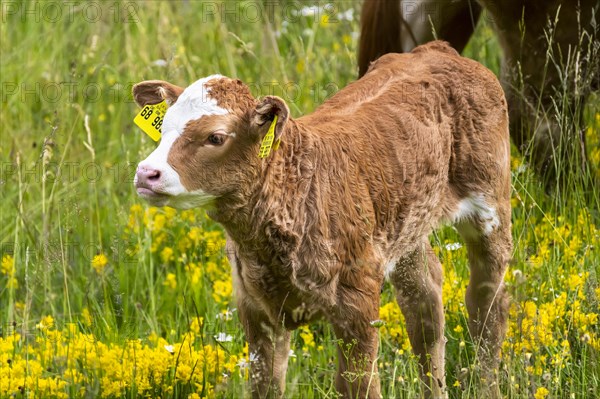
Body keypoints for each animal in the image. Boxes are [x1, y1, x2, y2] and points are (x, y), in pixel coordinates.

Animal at [132, 42, 510, 398]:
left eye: (216, 137)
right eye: (162, 129)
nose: (146, 172)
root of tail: (434, 50)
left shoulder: (358, 302)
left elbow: (358, 385)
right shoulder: (254, 306)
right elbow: (266, 385)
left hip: (491, 201)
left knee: (488, 302)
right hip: (405, 227)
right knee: (425, 299)